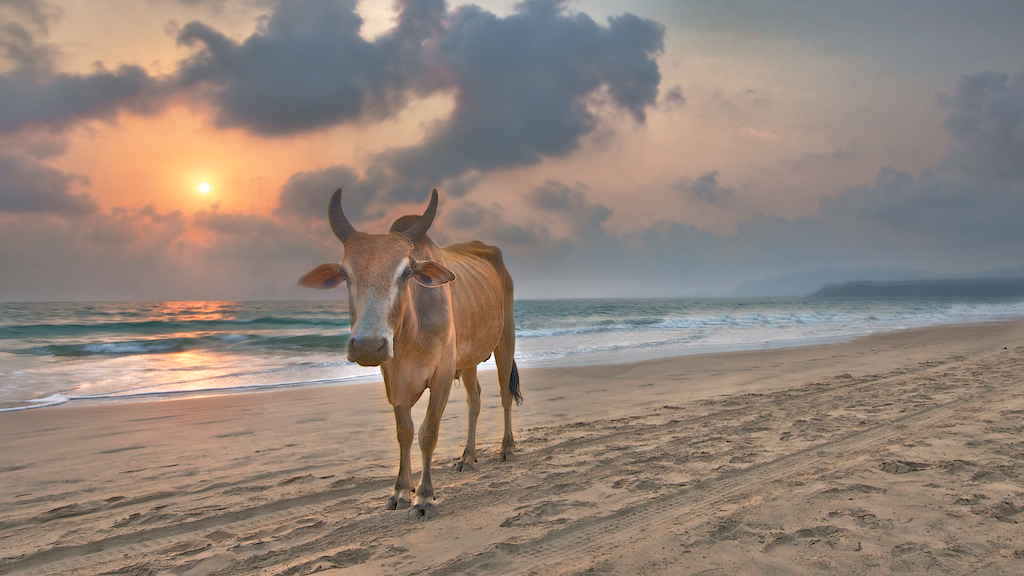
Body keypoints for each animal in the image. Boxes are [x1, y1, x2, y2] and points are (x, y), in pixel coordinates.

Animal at [296, 187, 520, 516]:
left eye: (407, 271)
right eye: (346, 274)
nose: (368, 345)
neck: (411, 333)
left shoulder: (441, 375)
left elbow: (428, 433)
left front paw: (424, 495)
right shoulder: (393, 377)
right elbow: (404, 432)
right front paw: (401, 491)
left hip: (505, 340)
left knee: (504, 393)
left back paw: (506, 448)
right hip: (468, 360)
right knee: (475, 399)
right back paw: (467, 456)